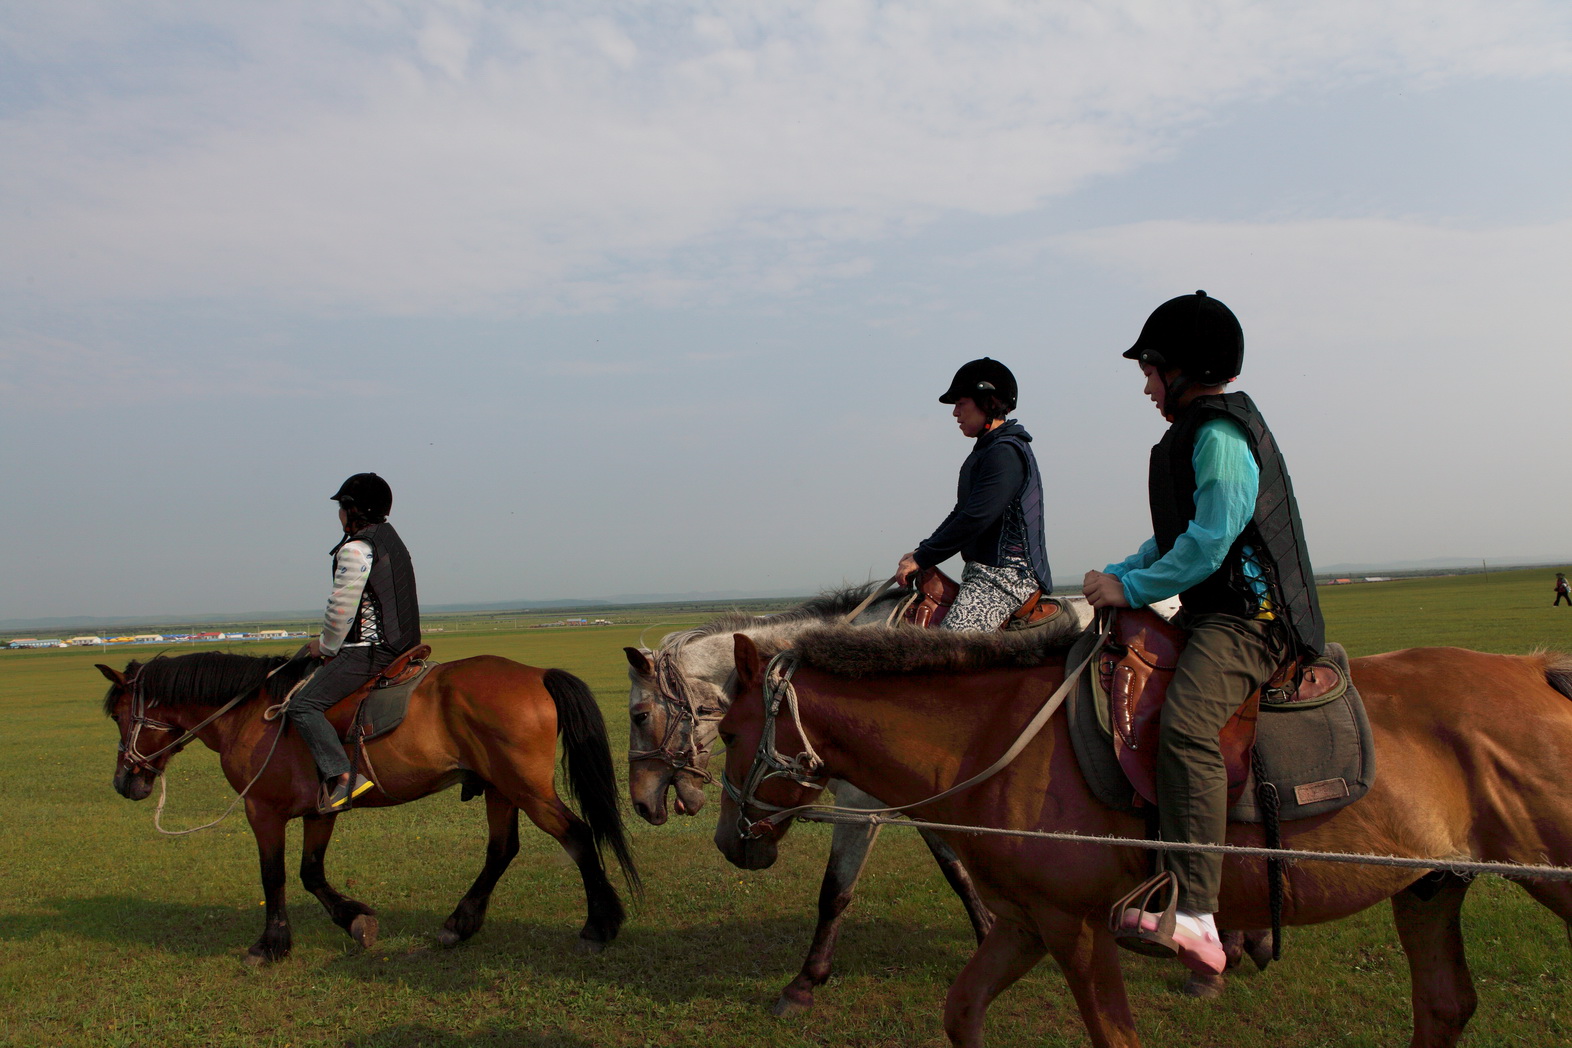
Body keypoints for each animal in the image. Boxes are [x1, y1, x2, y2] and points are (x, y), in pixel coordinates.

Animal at [101, 656, 638, 967]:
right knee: (503, 849)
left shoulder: (263, 810)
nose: (125, 781)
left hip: (525, 788)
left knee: (577, 835)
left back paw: (598, 926)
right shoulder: (320, 810)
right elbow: (311, 872)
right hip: (500, 788)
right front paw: (356, 920)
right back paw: (459, 924)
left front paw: (271, 944)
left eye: (120, 714)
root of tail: (537, 675)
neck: (251, 712)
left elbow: (274, 876)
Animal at [719, 628, 1572, 1043]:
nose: (732, 841)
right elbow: (962, 1012)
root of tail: (1539, 673)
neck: (997, 737)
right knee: (1445, 1008)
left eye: (726, 729)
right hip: (1430, 886)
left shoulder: (1077, 927)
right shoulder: (1030, 922)